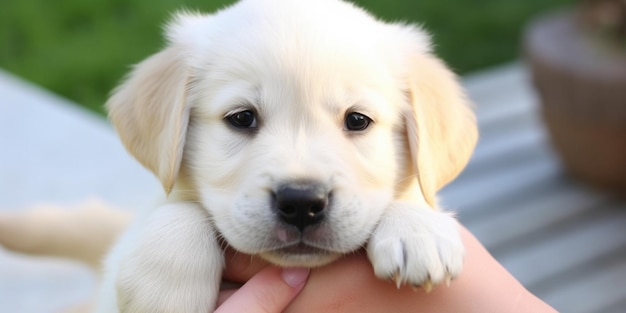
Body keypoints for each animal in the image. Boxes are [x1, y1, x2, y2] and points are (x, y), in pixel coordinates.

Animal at [94, 0, 478, 310]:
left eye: (357, 120)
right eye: (242, 118)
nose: (302, 203)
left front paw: (417, 229)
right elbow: (177, 206)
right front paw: (166, 289)